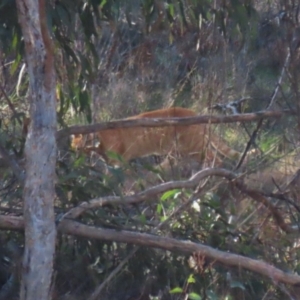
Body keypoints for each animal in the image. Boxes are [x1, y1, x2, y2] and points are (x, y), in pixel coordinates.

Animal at [71, 107, 244, 168]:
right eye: (74, 147)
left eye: (80, 146)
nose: (76, 152)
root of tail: (193, 112)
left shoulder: (119, 160)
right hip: (185, 151)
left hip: (194, 146)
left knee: (217, 159)